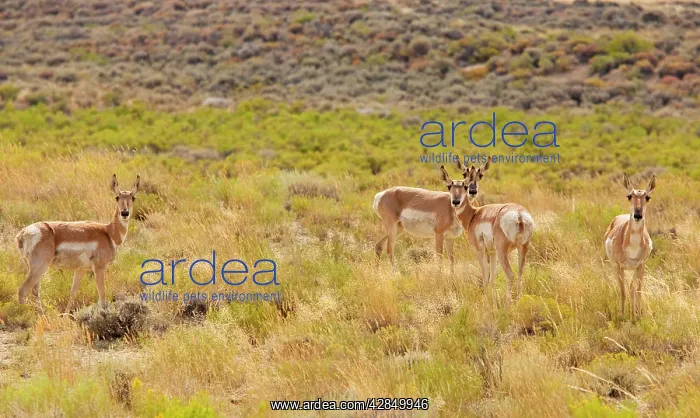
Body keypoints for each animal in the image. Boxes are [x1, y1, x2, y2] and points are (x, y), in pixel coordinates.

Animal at [15, 174, 140, 312]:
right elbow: (102, 296)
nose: (125, 213)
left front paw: (66, 315)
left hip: (36, 270)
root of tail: (23, 233)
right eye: (117, 197)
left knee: (35, 292)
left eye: (133, 198)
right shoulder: (99, 269)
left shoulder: (81, 270)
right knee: (23, 290)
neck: (108, 233)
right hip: (39, 268)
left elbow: (72, 293)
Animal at [441, 164, 535, 307]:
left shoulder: (480, 250)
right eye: (449, 186)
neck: (475, 214)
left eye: (465, 186)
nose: (456, 201)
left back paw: (507, 306)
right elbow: (492, 278)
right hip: (522, 248)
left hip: (503, 252)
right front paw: (494, 305)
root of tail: (519, 214)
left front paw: (488, 305)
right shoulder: (492, 252)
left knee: (510, 274)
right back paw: (518, 302)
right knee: (520, 273)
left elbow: (485, 277)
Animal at [604, 173, 656, 320]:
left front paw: (636, 317)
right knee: (623, 288)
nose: (637, 215)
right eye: (629, 196)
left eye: (647, 197)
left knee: (633, 288)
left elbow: (636, 290)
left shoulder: (640, 265)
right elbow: (623, 291)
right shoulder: (619, 266)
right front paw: (622, 317)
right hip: (615, 267)